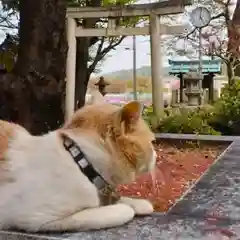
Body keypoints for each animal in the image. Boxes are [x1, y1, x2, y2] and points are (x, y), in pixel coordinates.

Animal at [0, 92, 157, 232]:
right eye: (152, 142)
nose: (156, 155)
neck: (80, 161)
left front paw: (137, 203)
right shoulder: (37, 218)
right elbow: (120, 210)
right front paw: (126, 207)